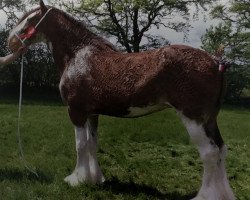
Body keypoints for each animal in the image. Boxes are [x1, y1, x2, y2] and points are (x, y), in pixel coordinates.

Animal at [7, 0, 234, 199]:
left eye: (30, 19)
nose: (11, 42)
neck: (78, 55)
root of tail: (215, 61)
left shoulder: (76, 112)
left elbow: (80, 145)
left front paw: (76, 180)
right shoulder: (92, 114)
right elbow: (92, 144)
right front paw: (95, 179)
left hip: (193, 117)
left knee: (209, 153)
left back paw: (204, 196)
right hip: (209, 119)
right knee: (221, 150)